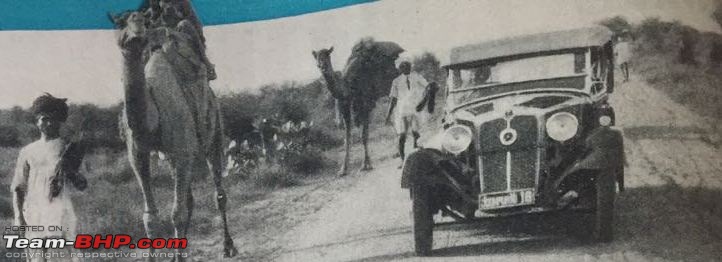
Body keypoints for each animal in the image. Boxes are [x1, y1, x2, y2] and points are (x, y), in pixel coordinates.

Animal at [112, 3, 236, 258]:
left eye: (141, 21)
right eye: (120, 24)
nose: (137, 30)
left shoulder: (182, 151)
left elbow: (176, 214)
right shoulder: (137, 156)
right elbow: (150, 218)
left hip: (214, 131)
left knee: (218, 193)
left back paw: (228, 246)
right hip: (174, 155)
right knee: (189, 199)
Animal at [310, 39, 404, 176]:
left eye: (327, 54)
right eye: (316, 56)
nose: (321, 65)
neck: (348, 85)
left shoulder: (366, 104)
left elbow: (364, 135)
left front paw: (366, 165)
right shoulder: (346, 106)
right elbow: (347, 138)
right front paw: (343, 169)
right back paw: (397, 152)